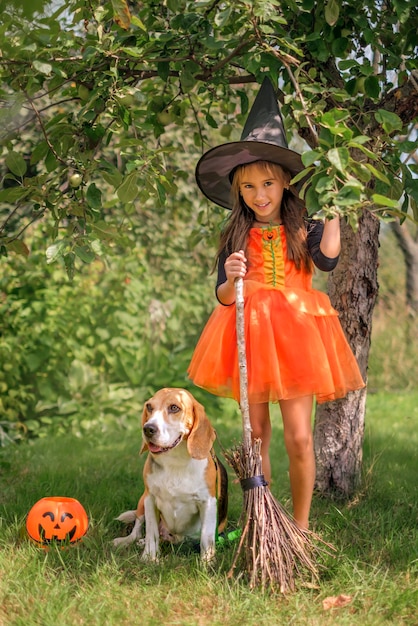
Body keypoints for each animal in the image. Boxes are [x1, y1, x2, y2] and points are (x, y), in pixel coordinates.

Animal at [112, 386, 227, 560]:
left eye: (174, 407)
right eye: (149, 407)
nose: (148, 429)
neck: (175, 460)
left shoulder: (208, 503)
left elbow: (206, 538)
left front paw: (207, 562)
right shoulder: (150, 499)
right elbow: (151, 533)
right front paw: (149, 558)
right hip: (142, 501)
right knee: (138, 530)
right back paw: (127, 541)